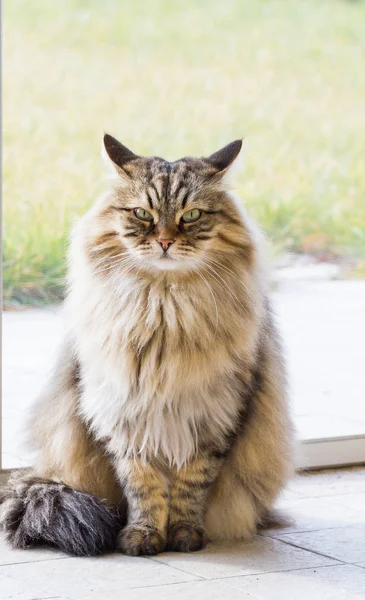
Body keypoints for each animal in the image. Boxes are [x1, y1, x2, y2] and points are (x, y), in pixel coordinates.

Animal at [0, 134, 292, 556]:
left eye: (191, 215)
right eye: (141, 213)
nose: (165, 241)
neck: (164, 310)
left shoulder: (212, 417)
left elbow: (190, 486)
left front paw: (185, 535)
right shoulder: (123, 416)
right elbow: (143, 486)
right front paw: (143, 536)